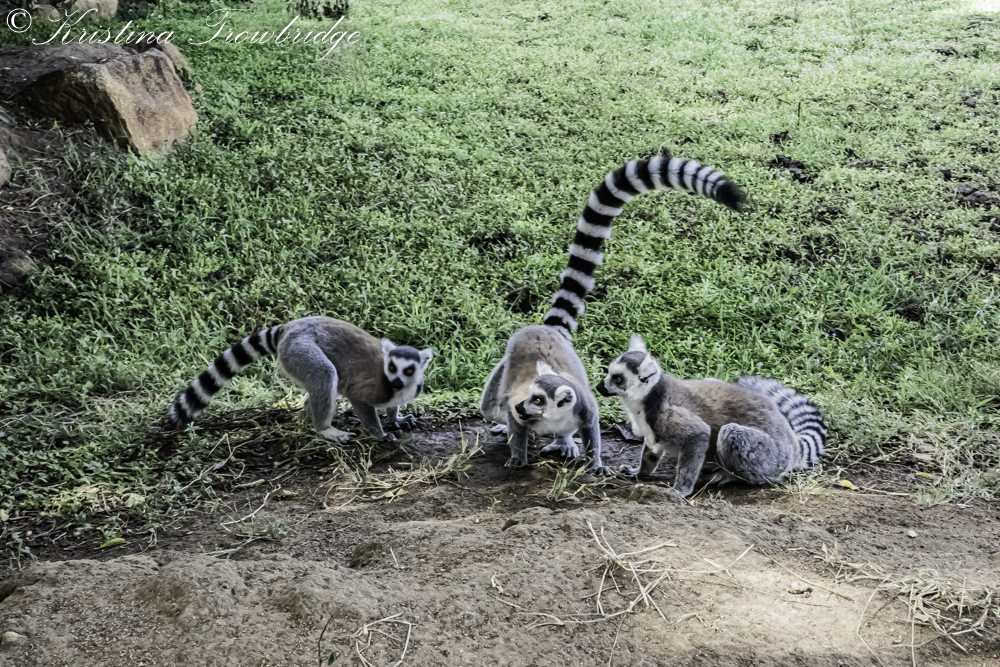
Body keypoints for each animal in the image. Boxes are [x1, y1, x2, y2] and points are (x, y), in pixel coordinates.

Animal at [164, 316, 433, 442]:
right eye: (391, 367)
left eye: (409, 371)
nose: (396, 382)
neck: (397, 387)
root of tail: (288, 327)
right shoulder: (371, 389)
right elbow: (362, 402)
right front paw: (379, 434)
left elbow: (393, 408)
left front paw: (396, 419)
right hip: (298, 350)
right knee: (325, 373)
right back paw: (324, 428)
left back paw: (309, 413)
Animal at [480, 153, 745, 474]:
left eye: (540, 400)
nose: (522, 408)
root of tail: (545, 330)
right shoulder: (520, 408)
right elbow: (516, 428)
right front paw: (518, 456)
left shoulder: (583, 409)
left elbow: (591, 429)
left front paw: (594, 462)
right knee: (490, 405)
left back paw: (562, 440)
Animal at [596, 335, 827, 495]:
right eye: (610, 373)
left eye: (617, 378)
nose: (599, 387)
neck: (648, 397)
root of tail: (792, 444)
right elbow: (652, 450)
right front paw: (640, 472)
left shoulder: (666, 413)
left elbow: (698, 435)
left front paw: (680, 491)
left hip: (771, 459)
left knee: (731, 434)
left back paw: (729, 476)